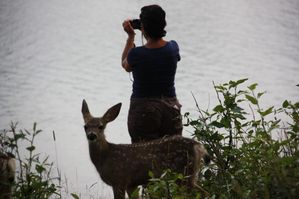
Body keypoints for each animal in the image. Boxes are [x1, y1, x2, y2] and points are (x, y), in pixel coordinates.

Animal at [81, 100, 210, 198]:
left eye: (101, 126)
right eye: (85, 126)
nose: (92, 135)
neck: (106, 156)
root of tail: (199, 146)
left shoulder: (119, 180)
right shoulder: (131, 184)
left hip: (183, 173)